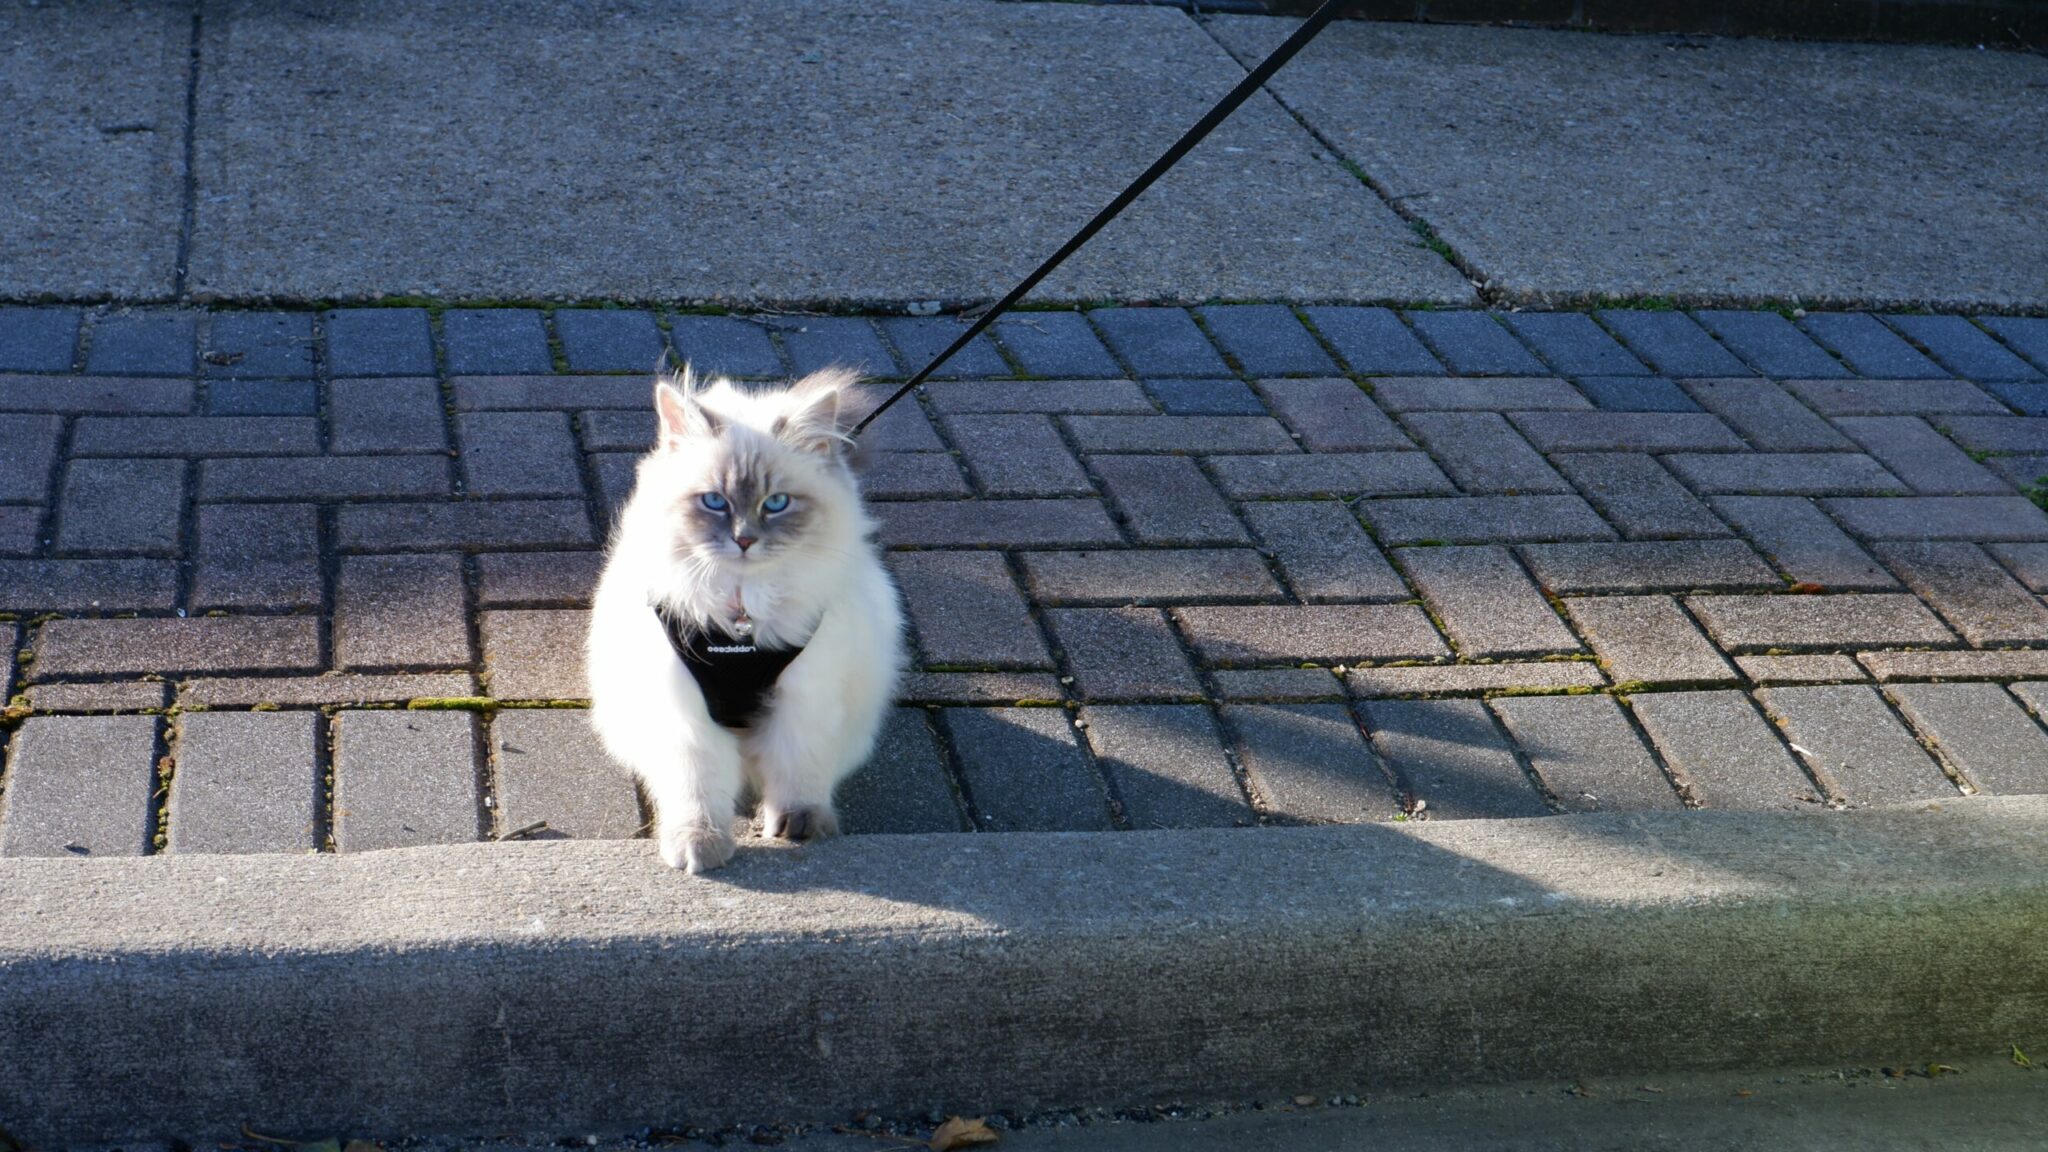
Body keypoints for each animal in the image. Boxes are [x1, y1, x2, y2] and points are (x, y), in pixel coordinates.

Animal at [593, 366, 913, 869]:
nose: (744, 540)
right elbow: (697, 787)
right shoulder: (689, 713)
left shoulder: (804, 699)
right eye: (714, 502)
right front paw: (699, 844)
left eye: (777, 503)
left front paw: (799, 827)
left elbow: (798, 771)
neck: (743, 617)